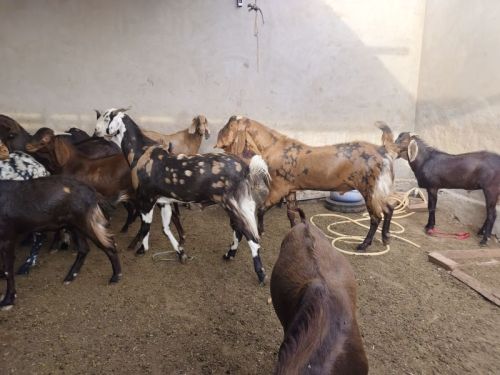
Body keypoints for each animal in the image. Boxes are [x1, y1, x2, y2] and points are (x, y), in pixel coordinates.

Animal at [0, 175, 122, 310]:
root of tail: (93, 192)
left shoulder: (7, 237)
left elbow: (7, 270)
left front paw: (8, 301)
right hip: (74, 226)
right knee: (84, 248)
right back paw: (70, 277)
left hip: (86, 223)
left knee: (109, 246)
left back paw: (116, 277)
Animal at [95, 107, 272, 284]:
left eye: (106, 118)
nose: (95, 131)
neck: (141, 151)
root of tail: (246, 169)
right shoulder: (164, 201)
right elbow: (165, 228)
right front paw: (181, 253)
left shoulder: (146, 199)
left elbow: (145, 226)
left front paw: (141, 249)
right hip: (240, 205)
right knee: (239, 231)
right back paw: (229, 255)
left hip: (233, 204)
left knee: (252, 237)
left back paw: (261, 275)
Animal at [215, 117, 398, 253]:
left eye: (228, 125)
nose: (217, 140)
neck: (275, 147)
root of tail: (384, 151)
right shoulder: (290, 189)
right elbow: (290, 212)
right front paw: (294, 230)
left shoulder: (278, 188)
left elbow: (261, 208)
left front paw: (260, 230)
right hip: (378, 190)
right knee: (389, 208)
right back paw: (386, 237)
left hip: (370, 189)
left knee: (376, 216)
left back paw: (364, 244)